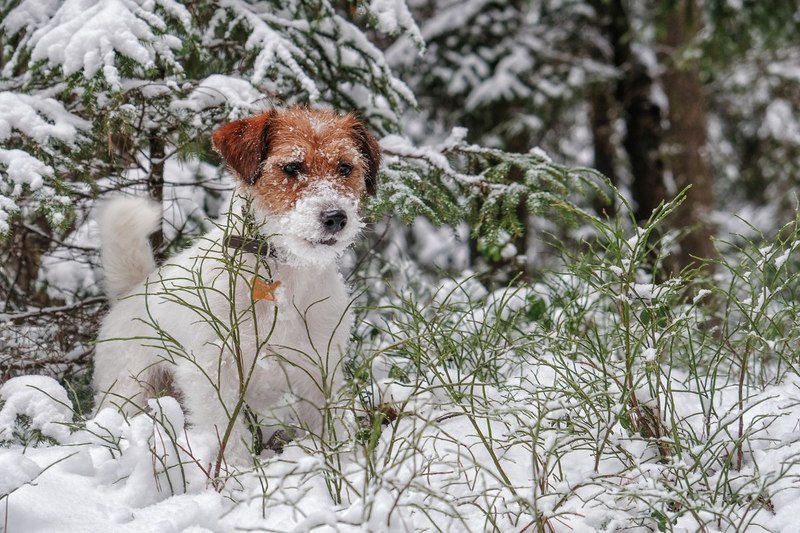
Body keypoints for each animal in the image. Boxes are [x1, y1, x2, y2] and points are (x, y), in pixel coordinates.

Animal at [94, 107, 382, 462]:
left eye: (345, 168)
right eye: (291, 167)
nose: (336, 217)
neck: (282, 274)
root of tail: (134, 291)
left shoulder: (321, 369)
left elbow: (332, 427)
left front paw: (343, 463)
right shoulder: (212, 373)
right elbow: (228, 438)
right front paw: (237, 474)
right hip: (127, 391)